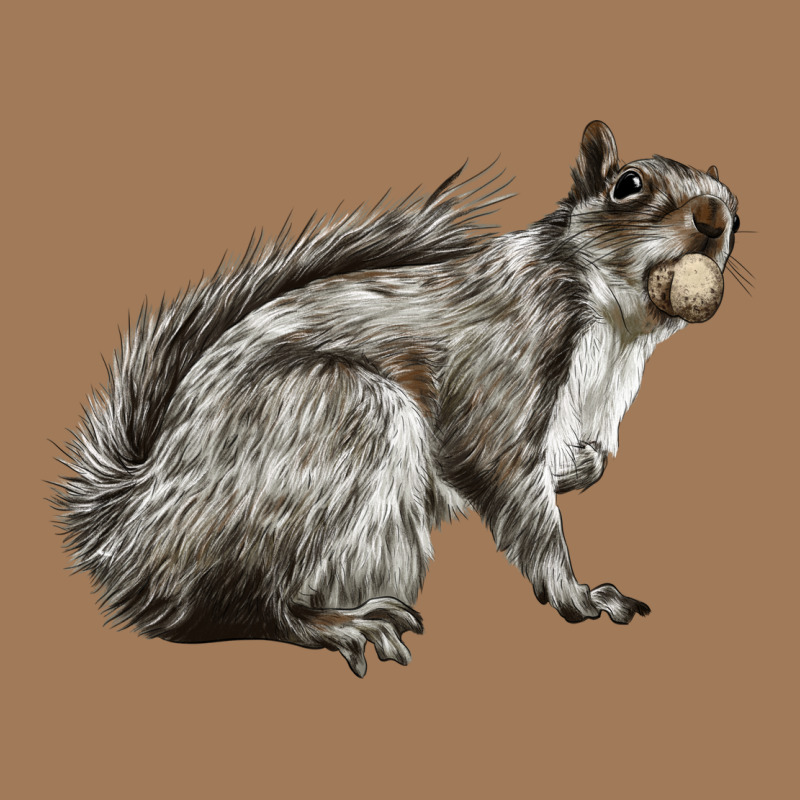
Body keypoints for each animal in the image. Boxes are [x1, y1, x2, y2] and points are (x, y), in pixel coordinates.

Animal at [54, 121, 740, 677]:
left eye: (734, 198)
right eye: (628, 185)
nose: (715, 217)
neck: (614, 323)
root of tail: (132, 526)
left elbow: (578, 463)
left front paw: (577, 467)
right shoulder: (504, 361)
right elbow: (502, 476)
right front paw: (577, 594)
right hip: (341, 415)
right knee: (232, 607)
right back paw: (341, 623)